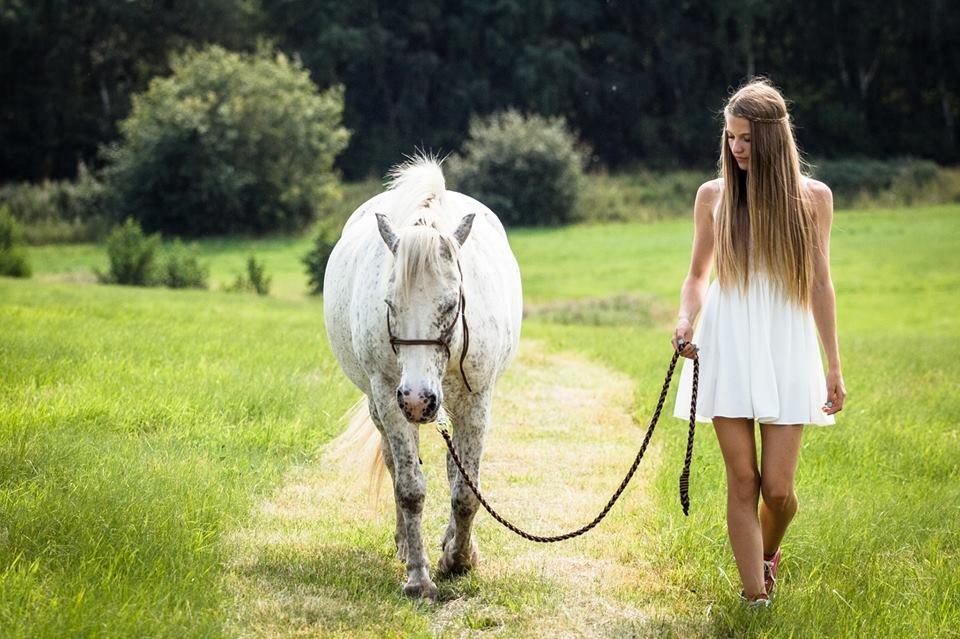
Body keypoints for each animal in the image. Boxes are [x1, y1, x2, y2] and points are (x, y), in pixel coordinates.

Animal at [322, 155, 520, 600]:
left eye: (451, 303)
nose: (417, 400)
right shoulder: (388, 400)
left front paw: (458, 560)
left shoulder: (476, 402)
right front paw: (418, 578)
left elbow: (465, 491)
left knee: (453, 469)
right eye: (389, 303)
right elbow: (410, 488)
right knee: (395, 465)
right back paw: (403, 545)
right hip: (382, 406)